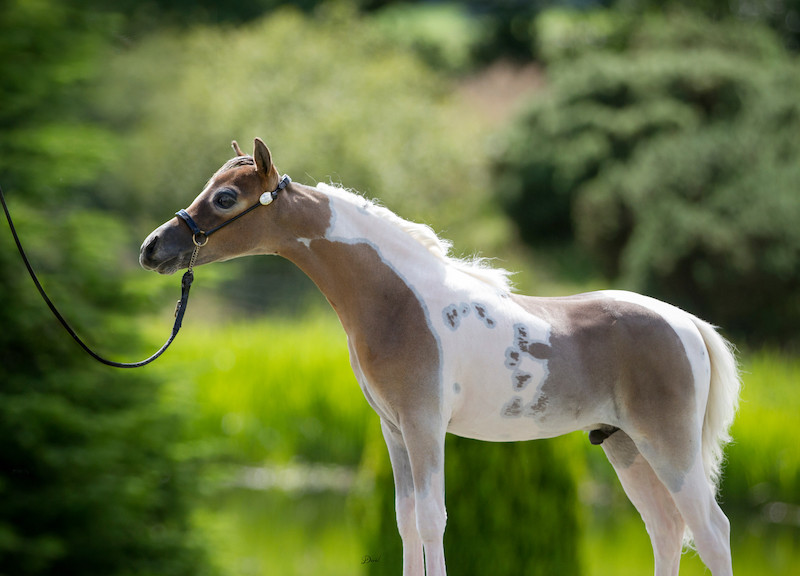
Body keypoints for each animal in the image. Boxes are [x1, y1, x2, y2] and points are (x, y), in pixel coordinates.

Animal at [139, 138, 741, 576]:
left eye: (225, 198)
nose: (152, 248)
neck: (398, 302)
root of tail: (687, 323)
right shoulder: (395, 431)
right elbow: (407, 521)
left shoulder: (425, 426)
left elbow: (433, 520)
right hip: (625, 447)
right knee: (667, 530)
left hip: (668, 445)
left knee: (711, 532)